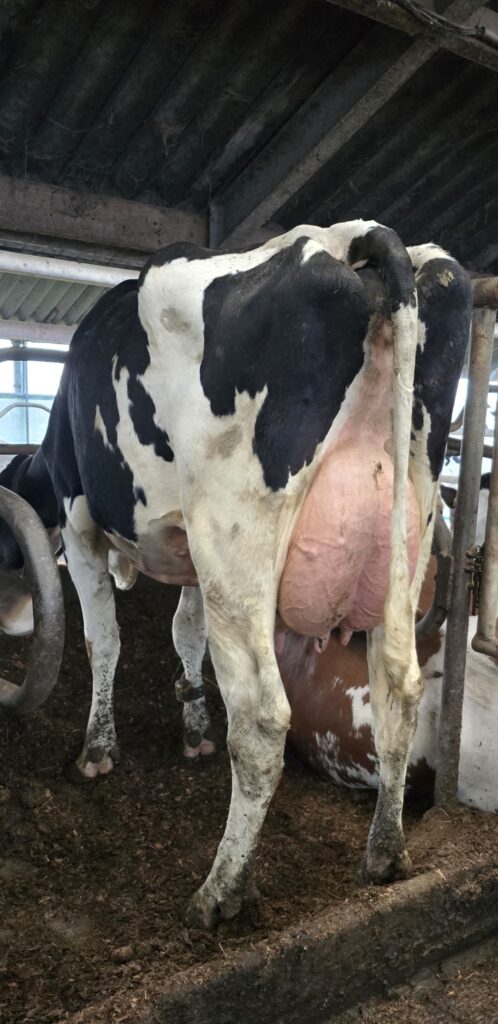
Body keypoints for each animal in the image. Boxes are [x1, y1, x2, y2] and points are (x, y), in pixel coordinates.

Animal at [0, 221, 472, 927]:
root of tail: (356, 236)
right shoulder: (193, 560)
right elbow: (185, 632)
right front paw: (192, 727)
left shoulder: (83, 521)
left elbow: (103, 639)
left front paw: (98, 750)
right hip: (409, 521)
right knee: (400, 689)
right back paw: (385, 854)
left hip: (235, 536)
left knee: (261, 720)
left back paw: (221, 889)